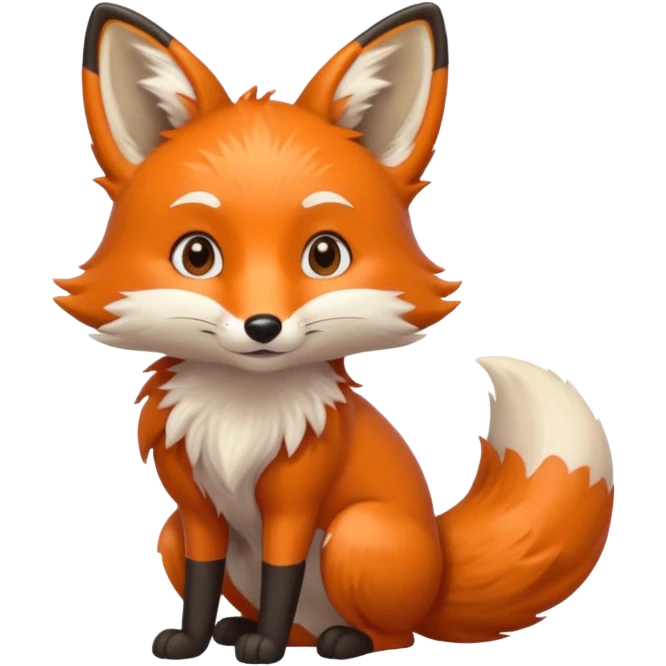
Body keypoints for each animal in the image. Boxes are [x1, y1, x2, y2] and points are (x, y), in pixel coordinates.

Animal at [53, 1, 616, 663]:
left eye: (325, 255)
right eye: (197, 255)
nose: (263, 326)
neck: (240, 417)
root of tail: (439, 575)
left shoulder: (295, 500)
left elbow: (283, 574)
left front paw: (264, 645)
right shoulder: (194, 510)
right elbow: (202, 577)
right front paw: (193, 639)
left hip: (359, 535)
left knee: (396, 636)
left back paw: (341, 639)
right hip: (169, 534)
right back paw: (246, 629)